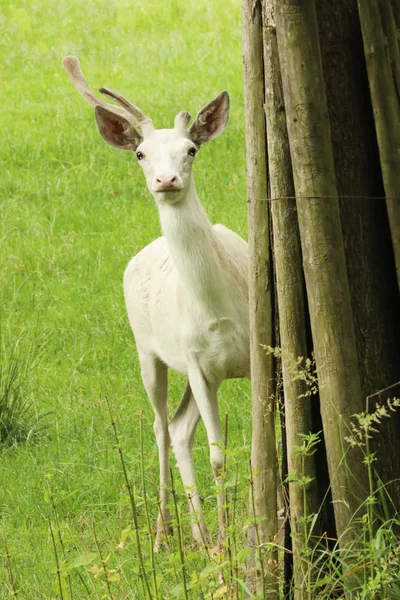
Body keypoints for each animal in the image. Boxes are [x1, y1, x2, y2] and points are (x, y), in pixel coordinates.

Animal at [63, 57, 248, 548]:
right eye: (141, 154)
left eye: (192, 149)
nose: (167, 180)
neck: (220, 309)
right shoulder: (198, 363)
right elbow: (218, 456)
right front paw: (227, 546)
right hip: (148, 351)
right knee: (162, 428)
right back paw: (167, 534)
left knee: (180, 430)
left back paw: (198, 536)